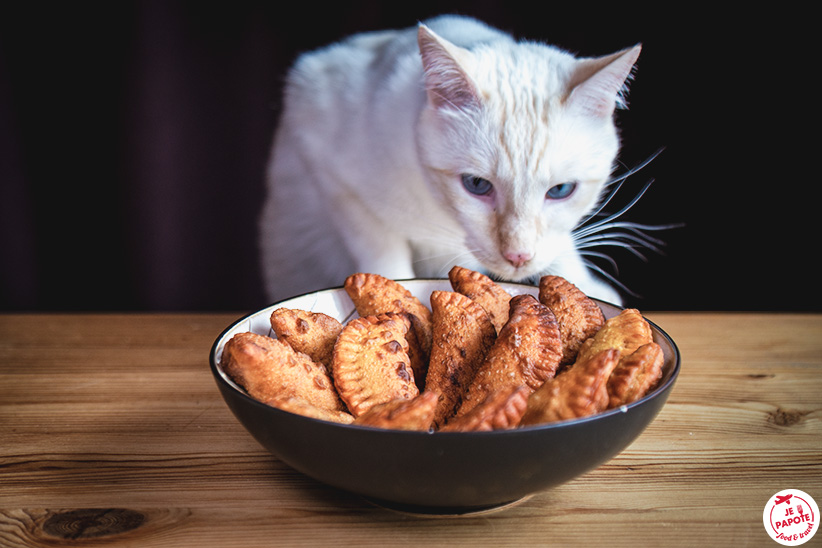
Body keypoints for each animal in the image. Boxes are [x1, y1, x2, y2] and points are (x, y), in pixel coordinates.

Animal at [260, 15, 648, 304]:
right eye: (476, 185)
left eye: (561, 191)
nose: (518, 257)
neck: (440, 214)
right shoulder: (328, 163)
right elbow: (385, 257)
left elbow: (561, 247)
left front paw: (587, 288)